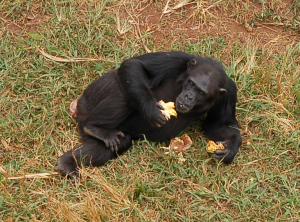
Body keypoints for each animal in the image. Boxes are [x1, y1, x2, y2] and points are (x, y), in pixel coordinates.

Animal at [54, 51, 241, 177]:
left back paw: (68, 163)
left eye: (201, 92)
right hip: (91, 100)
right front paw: (150, 109)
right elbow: (134, 65)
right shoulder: (176, 59)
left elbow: (217, 125)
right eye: (191, 84)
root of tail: (78, 108)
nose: (189, 96)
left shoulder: (229, 92)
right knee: (126, 90)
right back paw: (95, 127)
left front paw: (230, 148)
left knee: (116, 143)